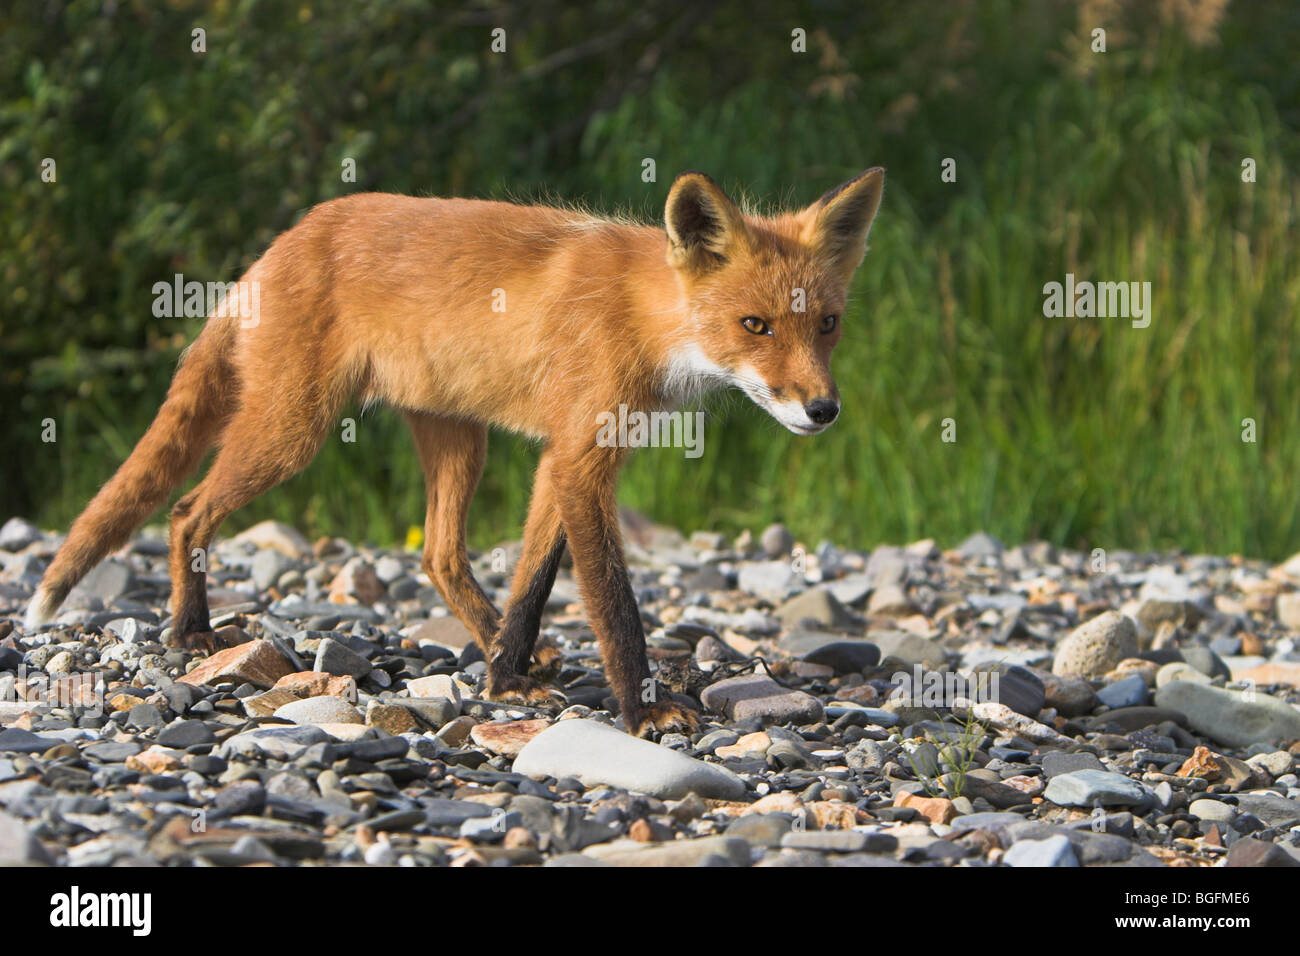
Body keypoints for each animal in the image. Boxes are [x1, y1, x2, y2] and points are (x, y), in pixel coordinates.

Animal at [27, 167, 883, 738]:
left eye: (828, 324)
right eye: (755, 326)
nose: (824, 410)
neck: (643, 318)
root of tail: (285, 242)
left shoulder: (561, 459)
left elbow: (533, 585)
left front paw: (506, 678)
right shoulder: (580, 459)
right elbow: (612, 602)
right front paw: (641, 710)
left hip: (456, 440)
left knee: (439, 555)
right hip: (293, 433)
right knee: (182, 511)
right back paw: (190, 631)